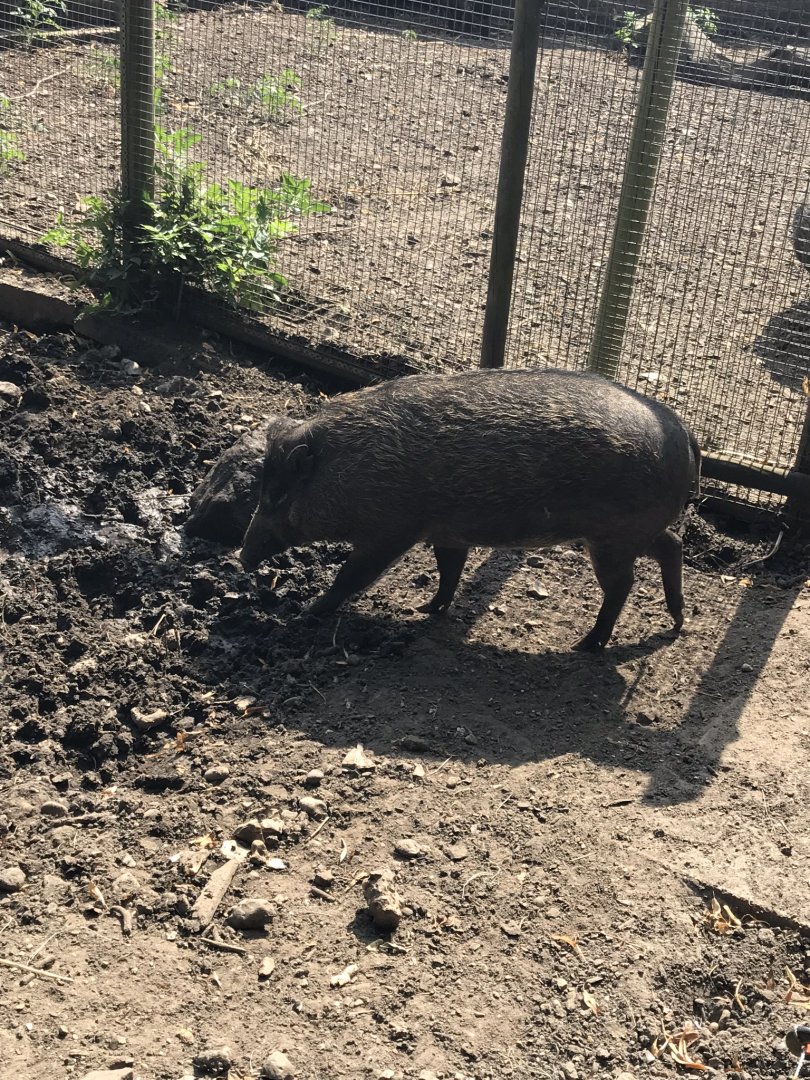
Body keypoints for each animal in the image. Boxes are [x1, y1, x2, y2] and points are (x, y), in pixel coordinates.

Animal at [239, 368, 700, 650]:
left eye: (277, 494)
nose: (242, 557)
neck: (351, 463)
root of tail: (683, 433)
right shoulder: (445, 532)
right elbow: (449, 571)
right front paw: (425, 610)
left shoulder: (389, 533)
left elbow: (350, 577)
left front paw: (304, 614)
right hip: (633, 533)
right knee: (671, 545)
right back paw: (678, 622)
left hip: (613, 539)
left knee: (624, 584)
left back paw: (586, 645)